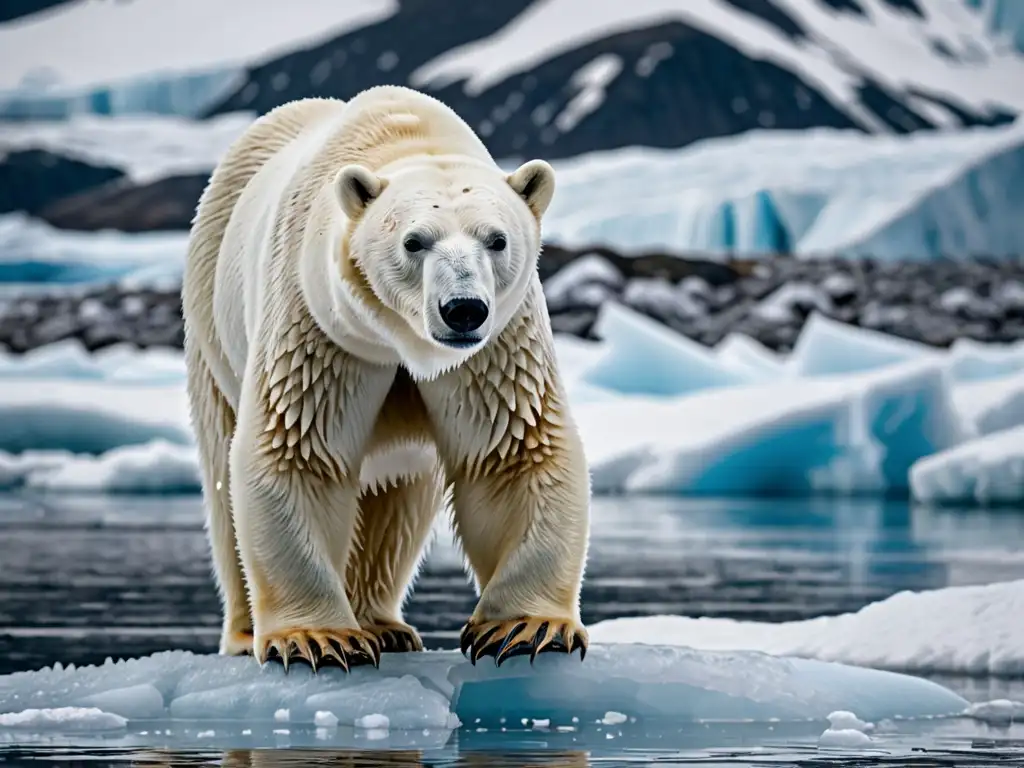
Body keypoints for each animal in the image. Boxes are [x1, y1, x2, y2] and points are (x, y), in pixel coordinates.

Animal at [180, 85, 589, 671]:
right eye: (414, 241)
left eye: (497, 239)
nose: (463, 309)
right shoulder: (320, 325)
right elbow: (298, 448)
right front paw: (317, 637)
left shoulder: (495, 348)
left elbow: (512, 450)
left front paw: (526, 628)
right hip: (213, 319)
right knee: (222, 475)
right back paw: (245, 633)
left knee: (396, 499)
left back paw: (383, 624)